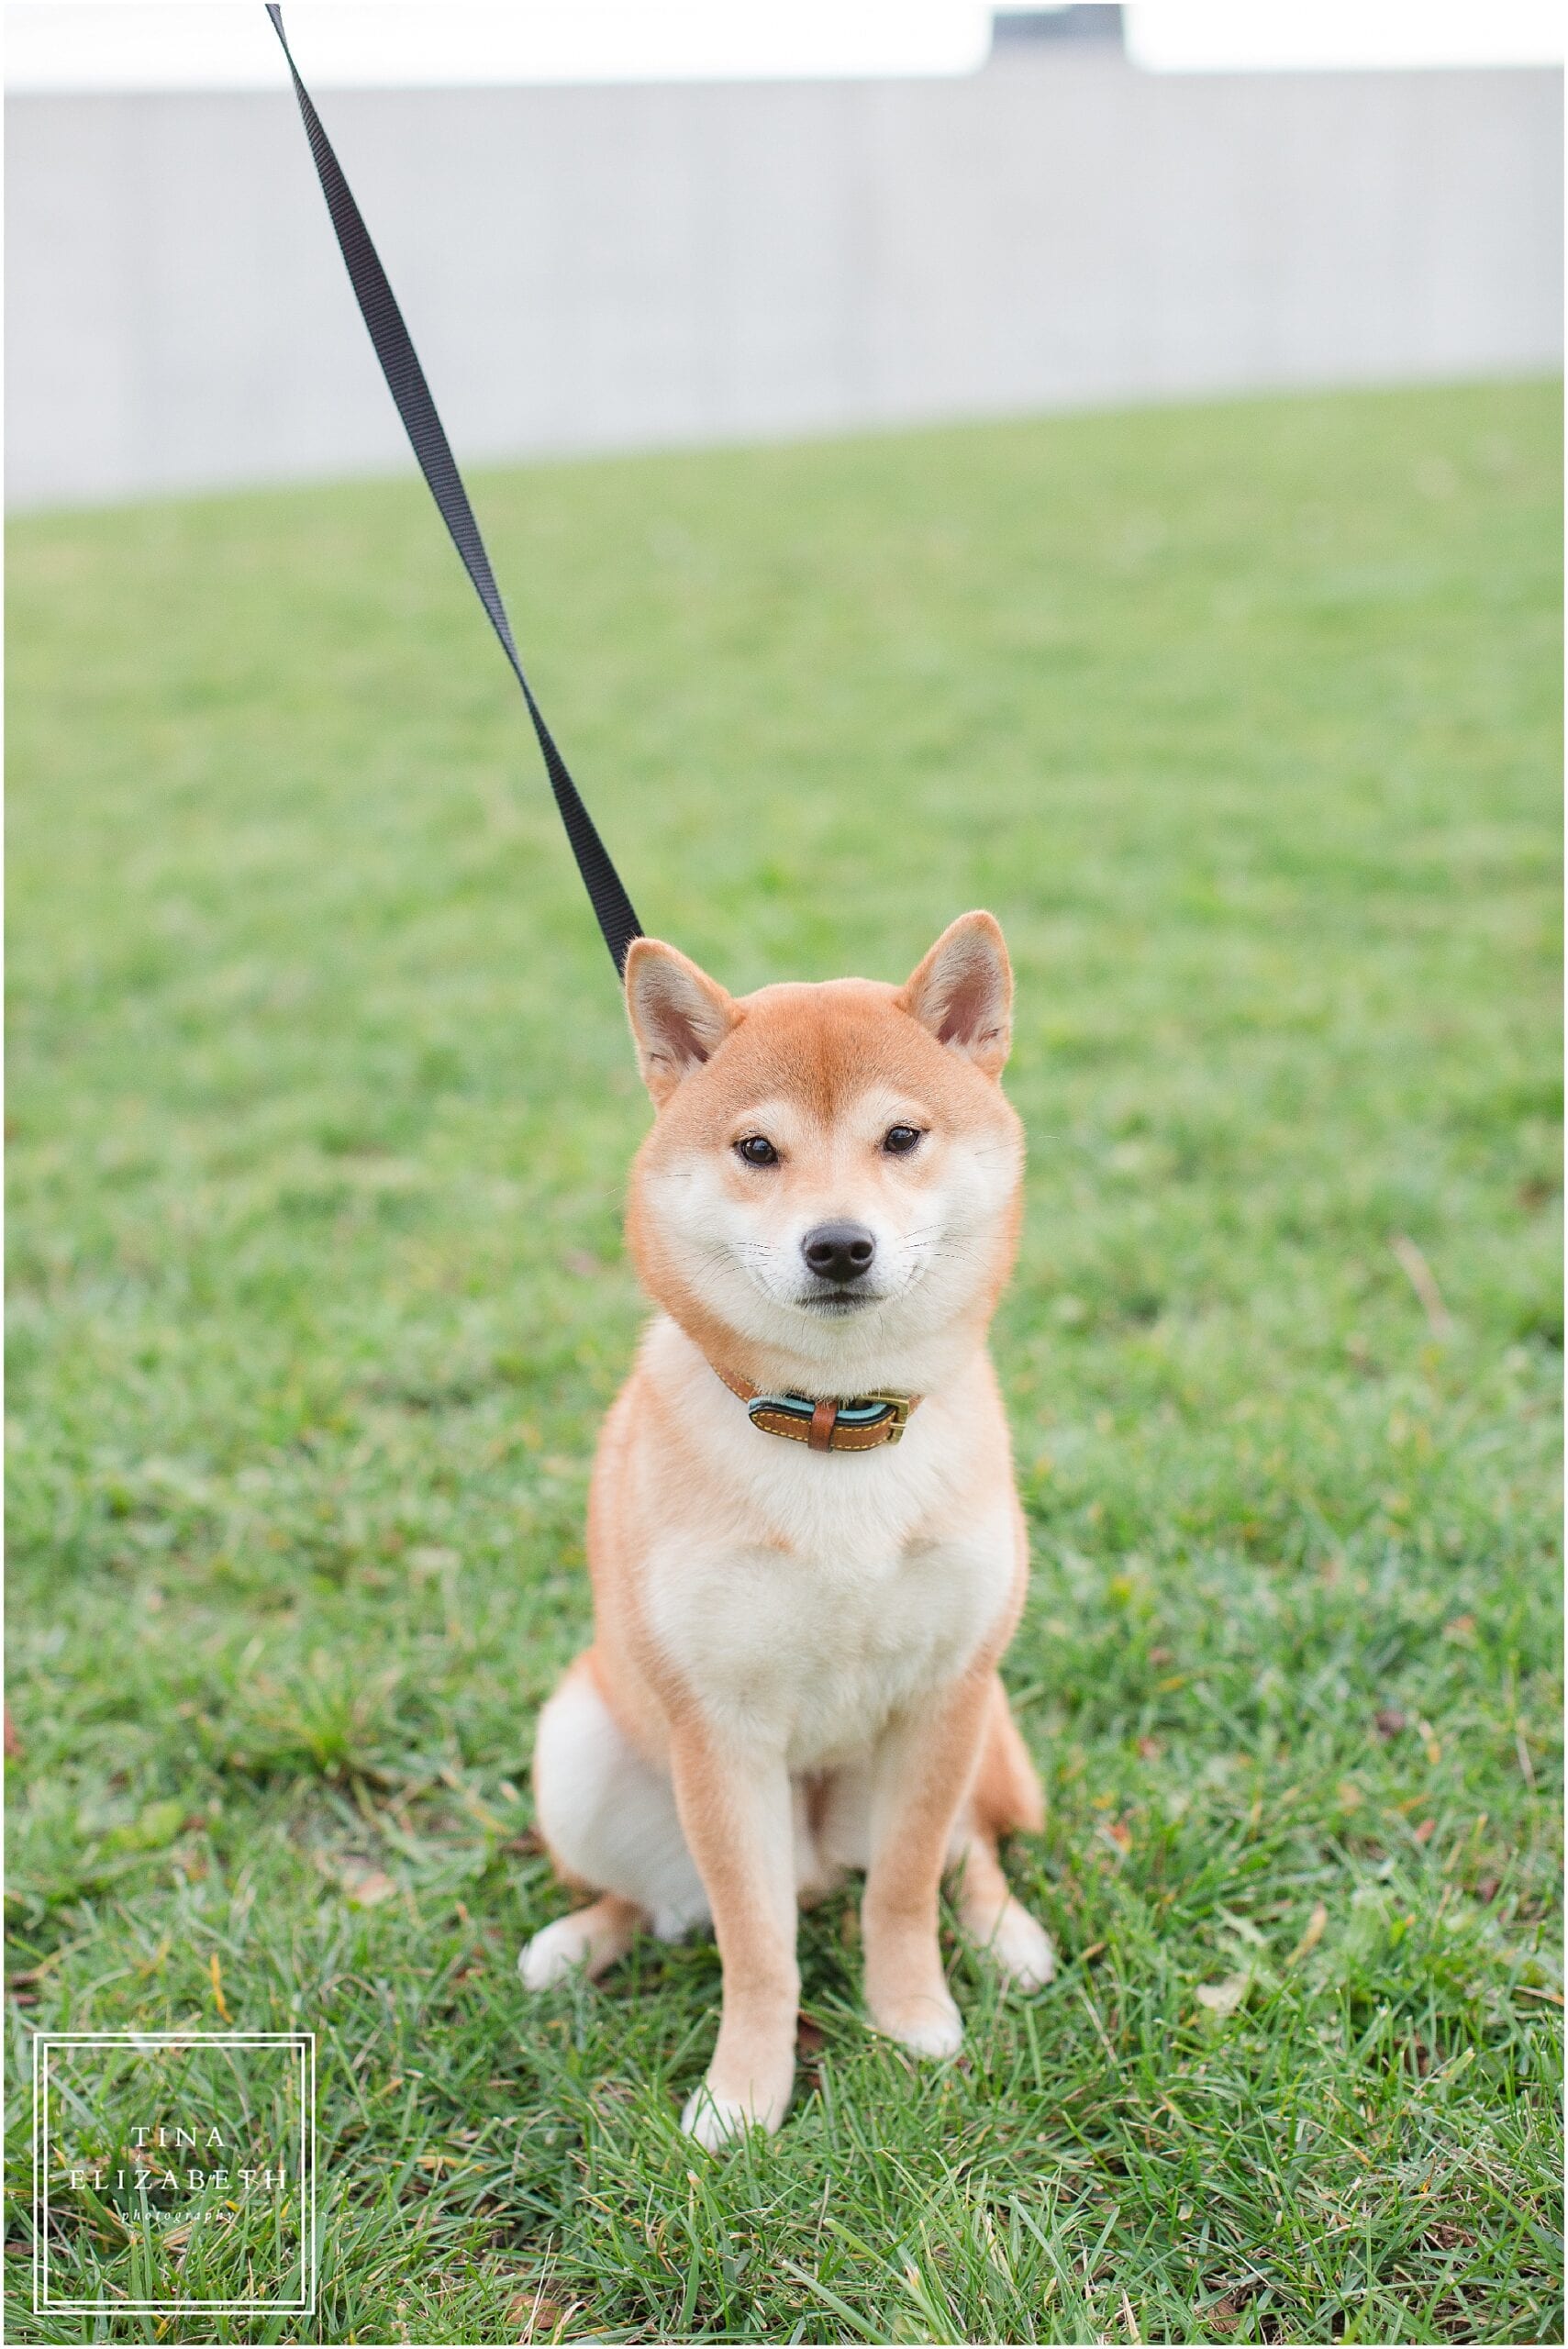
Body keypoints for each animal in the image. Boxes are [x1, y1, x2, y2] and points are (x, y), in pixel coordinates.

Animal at [520, 907, 1047, 2142]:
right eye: (756, 1151)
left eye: (901, 1136)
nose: (837, 1244)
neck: (832, 1429)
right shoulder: (719, 1731)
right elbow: (754, 1944)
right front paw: (741, 2096)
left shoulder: (942, 1696)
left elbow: (902, 1889)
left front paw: (912, 2021)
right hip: (580, 1744)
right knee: (663, 1902)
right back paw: (576, 1941)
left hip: (983, 1715)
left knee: (970, 1847)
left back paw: (1006, 1937)